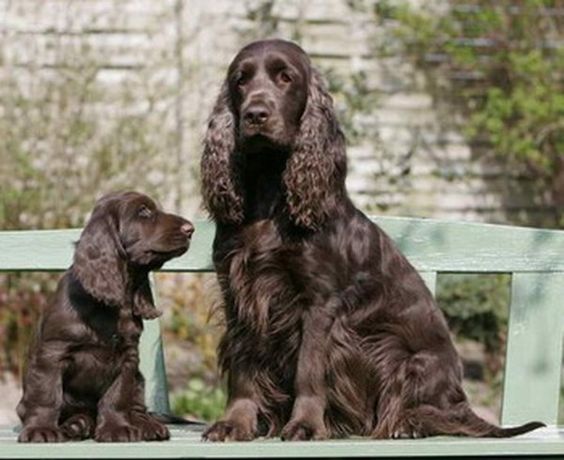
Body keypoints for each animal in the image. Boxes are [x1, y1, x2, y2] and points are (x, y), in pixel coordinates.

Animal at [17, 190, 194, 442]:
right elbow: (47, 394)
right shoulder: (51, 354)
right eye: (144, 212)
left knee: (136, 406)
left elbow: (117, 397)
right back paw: (77, 424)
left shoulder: (128, 358)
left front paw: (116, 428)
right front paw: (40, 429)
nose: (190, 229)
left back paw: (147, 425)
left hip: (139, 379)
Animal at [200, 40, 544, 442]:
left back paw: (405, 425)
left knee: (439, 414)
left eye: (285, 77)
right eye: (240, 80)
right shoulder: (239, 293)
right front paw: (235, 423)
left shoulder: (319, 303)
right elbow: (243, 368)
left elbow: (309, 371)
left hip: (395, 353)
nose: (255, 114)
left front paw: (305, 425)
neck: (270, 193)